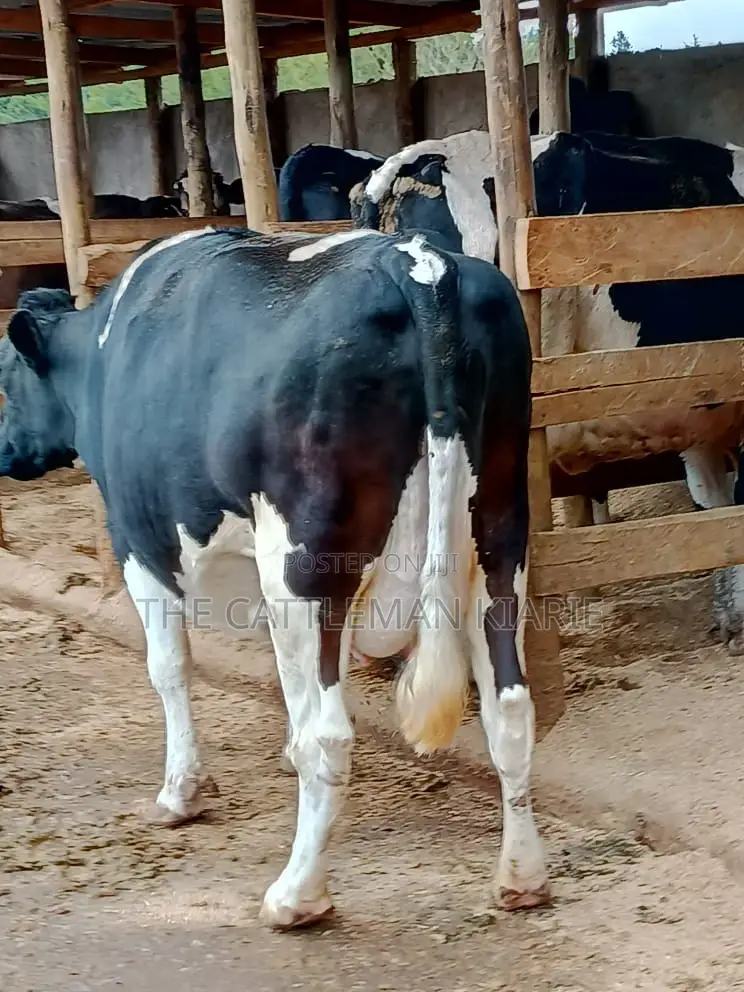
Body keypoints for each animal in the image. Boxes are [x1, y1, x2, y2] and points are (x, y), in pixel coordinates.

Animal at [0, 225, 546, 928]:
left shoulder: (140, 540)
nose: (6, 454)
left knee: (332, 734)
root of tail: (418, 262)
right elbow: (291, 680)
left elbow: (170, 667)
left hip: (303, 560)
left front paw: (180, 793)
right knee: (509, 708)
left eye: (6, 378)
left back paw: (296, 895)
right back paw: (522, 877)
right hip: (497, 538)